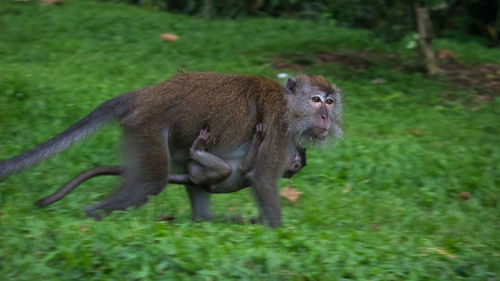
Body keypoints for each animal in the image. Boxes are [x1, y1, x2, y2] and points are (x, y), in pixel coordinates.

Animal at [35, 123, 304, 207]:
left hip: (203, 174)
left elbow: (246, 170)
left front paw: (258, 139)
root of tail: (194, 178)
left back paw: (196, 149)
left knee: (225, 170)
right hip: (197, 170)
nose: (295, 160)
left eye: (297, 163)